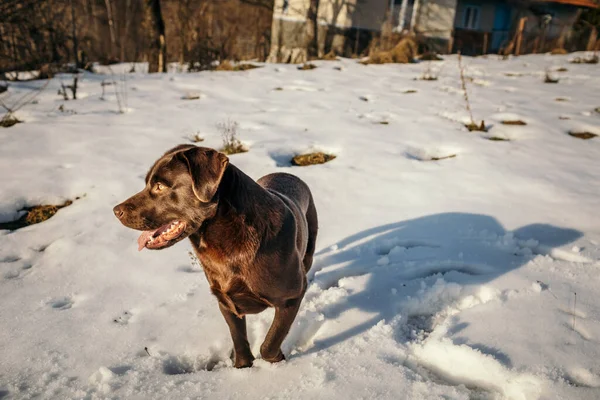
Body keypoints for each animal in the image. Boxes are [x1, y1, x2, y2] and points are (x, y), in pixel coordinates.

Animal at [113, 145, 318, 368]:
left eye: (160, 186)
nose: (116, 211)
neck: (228, 246)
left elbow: (270, 342)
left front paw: (277, 361)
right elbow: (238, 339)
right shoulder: (225, 301)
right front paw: (242, 367)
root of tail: (287, 174)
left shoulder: (291, 297)